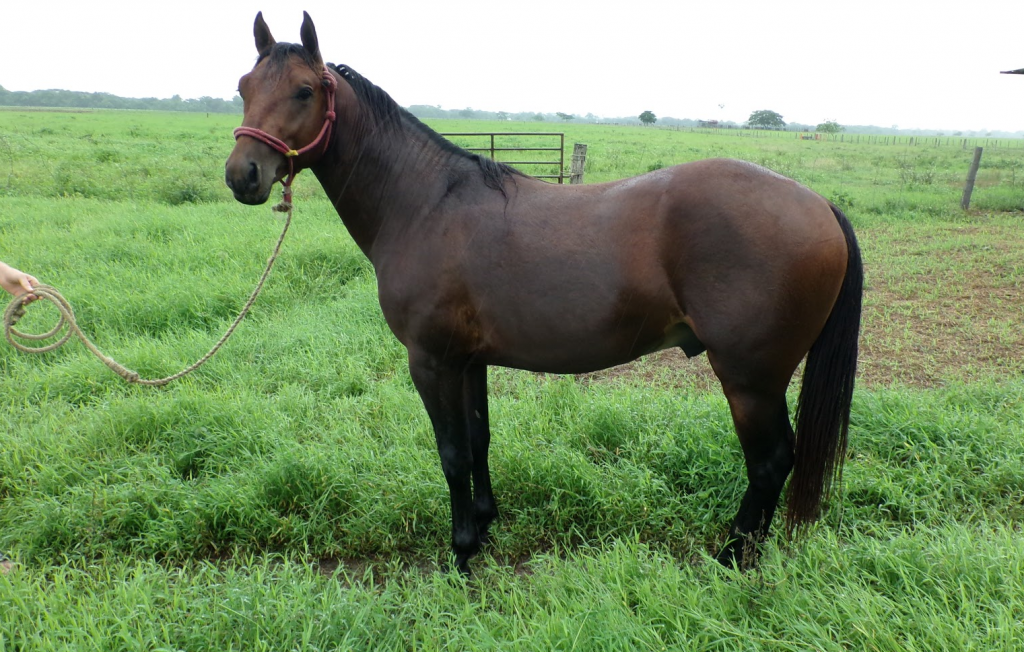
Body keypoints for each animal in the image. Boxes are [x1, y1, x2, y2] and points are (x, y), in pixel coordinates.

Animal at [225, 12, 863, 574]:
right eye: (243, 87)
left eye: (305, 90)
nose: (242, 175)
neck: (427, 203)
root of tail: (819, 204)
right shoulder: (468, 361)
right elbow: (478, 441)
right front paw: (484, 525)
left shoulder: (431, 361)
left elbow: (452, 454)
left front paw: (460, 554)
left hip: (751, 378)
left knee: (770, 462)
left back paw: (732, 558)